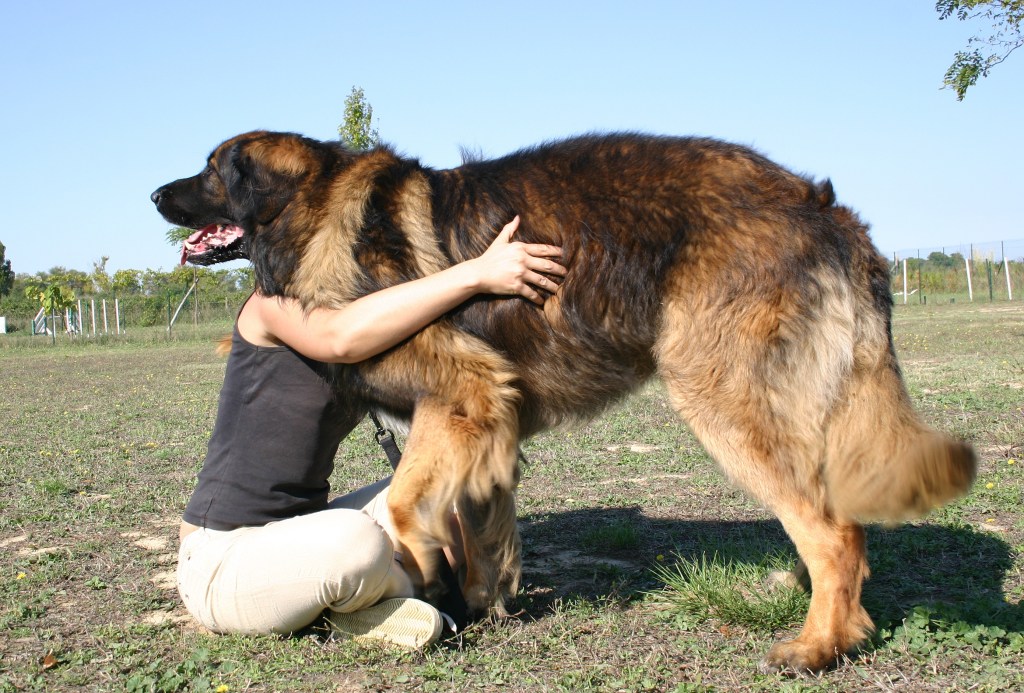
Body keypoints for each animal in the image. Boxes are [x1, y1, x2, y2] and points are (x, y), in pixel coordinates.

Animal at [151, 131, 974, 671]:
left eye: (212, 168)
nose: (155, 192)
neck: (320, 212)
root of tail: (822, 207)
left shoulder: (463, 393)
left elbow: (407, 507)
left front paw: (427, 572)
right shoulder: (480, 419)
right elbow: (476, 522)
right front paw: (479, 602)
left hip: (721, 398)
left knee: (832, 530)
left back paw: (817, 646)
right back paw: (828, 616)